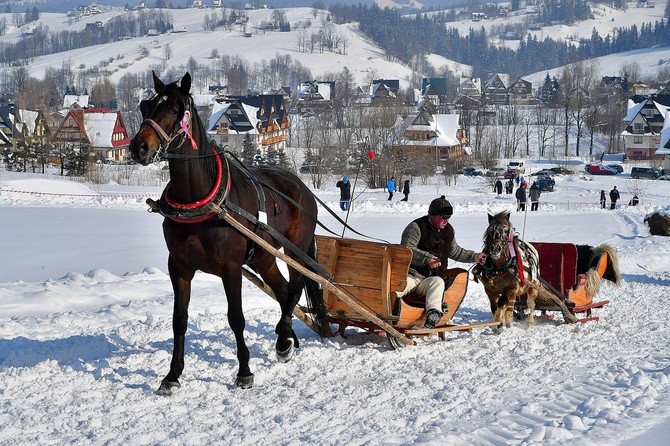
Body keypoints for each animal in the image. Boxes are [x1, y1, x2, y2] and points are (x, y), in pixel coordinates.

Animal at [128, 70, 328, 394]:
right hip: (262, 256)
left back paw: (284, 336)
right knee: (283, 290)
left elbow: (236, 318)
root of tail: (302, 188)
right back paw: (285, 339)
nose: (138, 147)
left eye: (175, 108)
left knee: (295, 286)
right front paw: (173, 374)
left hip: (293, 249)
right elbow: (179, 320)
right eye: (146, 106)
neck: (200, 200)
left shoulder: (230, 267)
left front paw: (244, 371)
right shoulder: (179, 267)